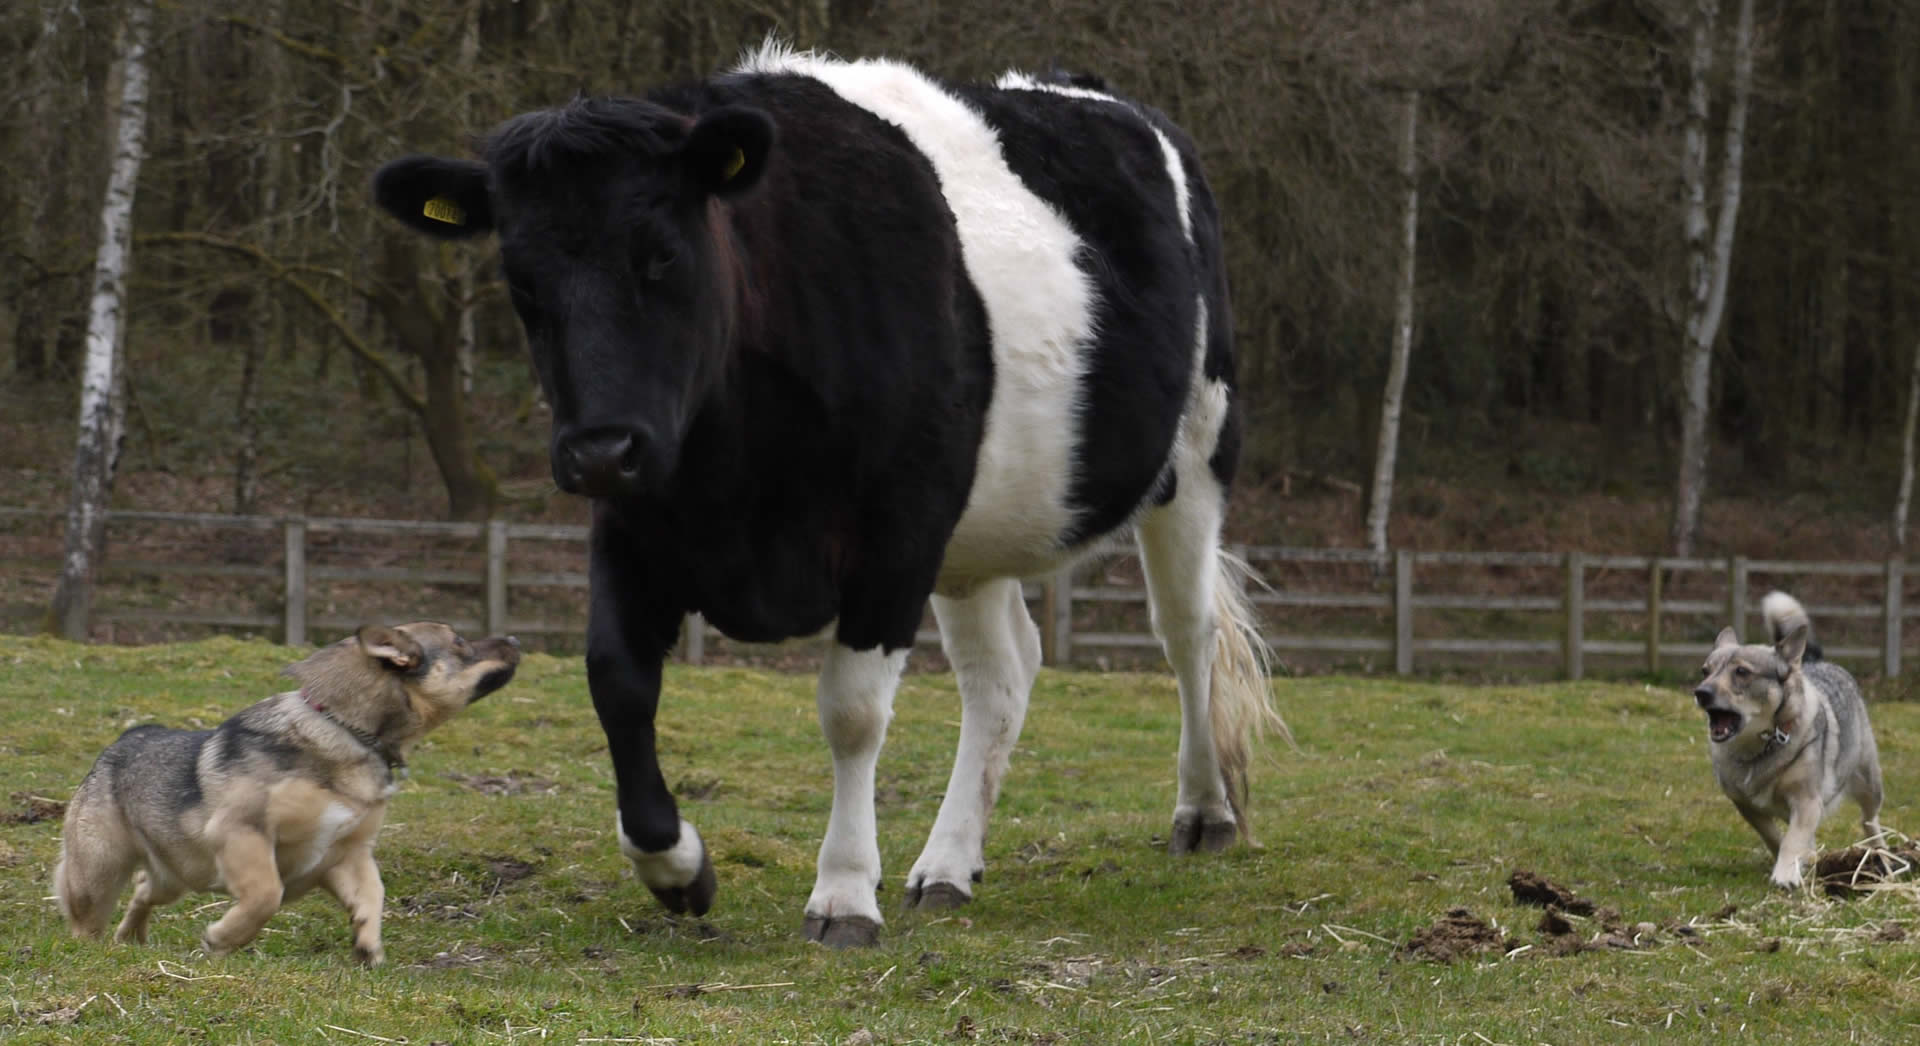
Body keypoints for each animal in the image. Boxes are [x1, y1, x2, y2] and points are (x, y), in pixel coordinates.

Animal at [373, 42, 1286, 947]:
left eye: (662, 254)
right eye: (521, 281)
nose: (599, 449)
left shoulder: (896, 533)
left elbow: (851, 713)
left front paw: (844, 893)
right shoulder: (636, 524)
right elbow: (617, 681)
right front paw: (675, 866)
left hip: (1198, 452)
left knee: (1186, 633)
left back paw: (1204, 813)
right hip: (977, 530)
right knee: (1002, 672)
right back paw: (948, 864)